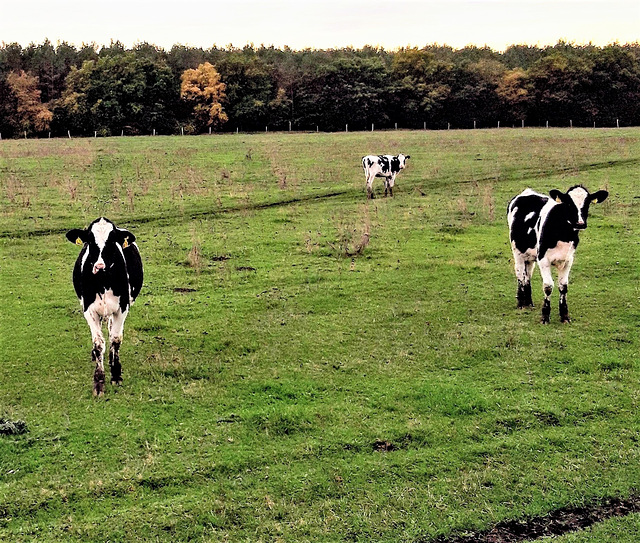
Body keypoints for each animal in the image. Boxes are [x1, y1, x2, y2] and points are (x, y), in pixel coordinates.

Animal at [65, 219, 143, 398]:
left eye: (112, 241)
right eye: (90, 241)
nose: (100, 266)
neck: (103, 281)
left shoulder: (122, 308)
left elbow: (115, 339)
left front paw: (116, 375)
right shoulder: (89, 310)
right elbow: (98, 343)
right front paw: (99, 383)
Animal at [508, 185, 608, 326]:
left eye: (587, 202)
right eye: (569, 203)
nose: (580, 223)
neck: (563, 233)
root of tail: (526, 192)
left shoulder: (568, 260)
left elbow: (563, 286)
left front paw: (565, 316)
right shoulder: (543, 259)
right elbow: (548, 286)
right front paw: (545, 316)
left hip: (530, 255)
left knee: (528, 274)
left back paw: (529, 303)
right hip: (517, 251)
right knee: (520, 274)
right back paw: (521, 304)